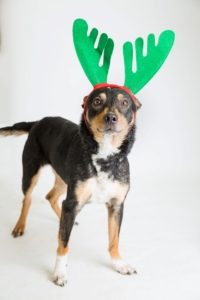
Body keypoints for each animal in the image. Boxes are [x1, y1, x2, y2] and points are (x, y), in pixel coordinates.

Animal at [0, 84, 141, 286]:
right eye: (97, 101)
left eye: (124, 103)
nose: (111, 117)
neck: (104, 157)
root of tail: (37, 122)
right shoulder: (72, 202)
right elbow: (63, 245)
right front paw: (59, 273)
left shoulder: (116, 205)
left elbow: (114, 240)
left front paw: (119, 264)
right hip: (31, 173)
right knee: (27, 199)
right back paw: (20, 226)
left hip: (63, 178)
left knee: (51, 197)